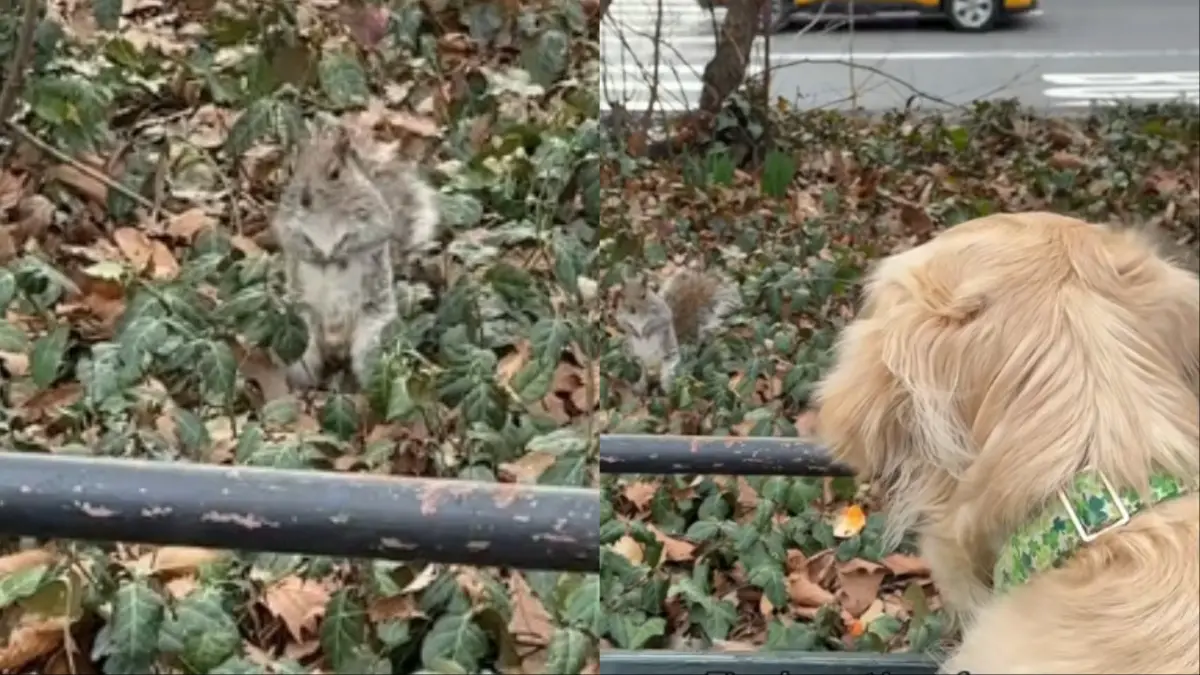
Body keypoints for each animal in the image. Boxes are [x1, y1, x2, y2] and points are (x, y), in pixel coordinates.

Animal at [271, 120, 440, 390]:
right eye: (292, 169)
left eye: (335, 173)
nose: (305, 199)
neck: (325, 213)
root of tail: (335, 342)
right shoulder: (287, 220)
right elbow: (291, 239)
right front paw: (314, 252)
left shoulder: (375, 214)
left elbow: (372, 233)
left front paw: (341, 251)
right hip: (300, 332)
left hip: (372, 338)